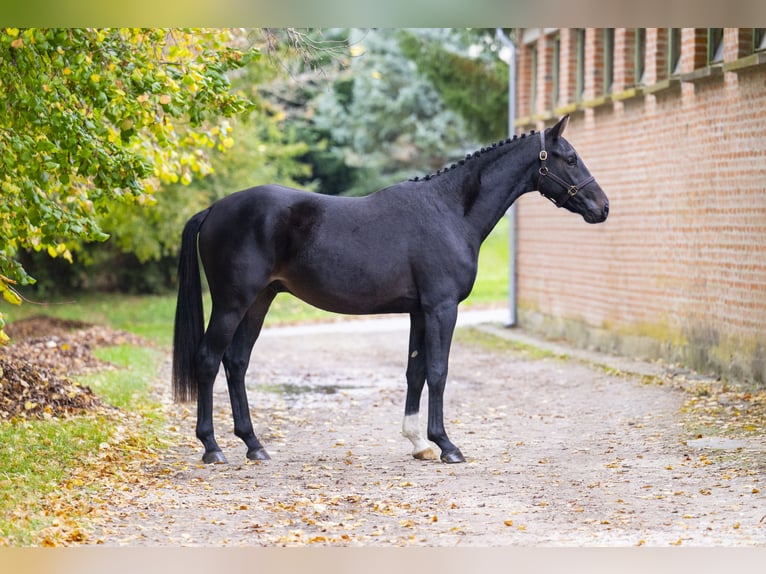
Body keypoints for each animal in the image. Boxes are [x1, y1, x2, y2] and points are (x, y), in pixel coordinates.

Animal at [171, 115, 608, 466]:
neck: (450, 211)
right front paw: (447, 445)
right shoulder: (441, 308)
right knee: (209, 359)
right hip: (232, 303)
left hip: (259, 301)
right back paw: (212, 448)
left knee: (237, 362)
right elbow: (438, 371)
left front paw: (418, 443)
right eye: (570, 158)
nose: (602, 207)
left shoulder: (419, 311)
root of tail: (213, 210)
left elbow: (415, 371)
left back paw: (254, 444)